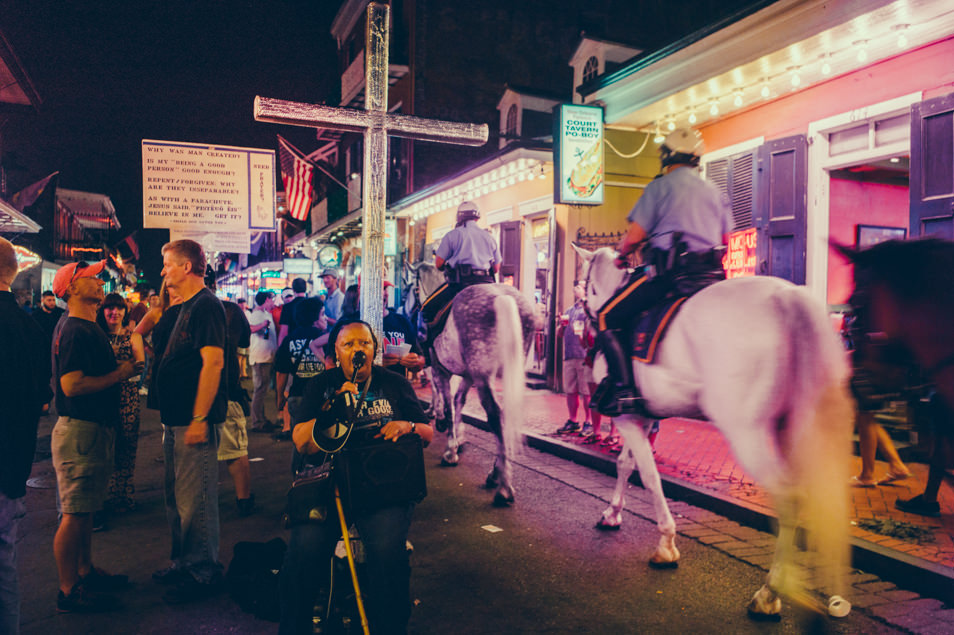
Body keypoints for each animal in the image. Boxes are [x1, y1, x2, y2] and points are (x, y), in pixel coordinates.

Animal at [412, 260, 540, 504]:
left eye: (411, 286)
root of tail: (502, 297)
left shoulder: (440, 368)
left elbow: (448, 405)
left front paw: (450, 449)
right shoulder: (468, 375)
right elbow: (458, 401)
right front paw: (458, 439)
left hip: (483, 375)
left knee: (495, 415)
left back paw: (504, 487)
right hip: (503, 370)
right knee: (506, 415)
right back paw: (496, 473)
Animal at [576, 246, 852, 624]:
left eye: (581, 283)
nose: (582, 330)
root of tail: (787, 297)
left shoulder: (630, 417)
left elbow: (649, 477)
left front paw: (666, 545)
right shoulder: (641, 418)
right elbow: (625, 466)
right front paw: (612, 514)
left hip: (748, 433)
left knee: (790, 498)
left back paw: (769, 594)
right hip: (798, 427)